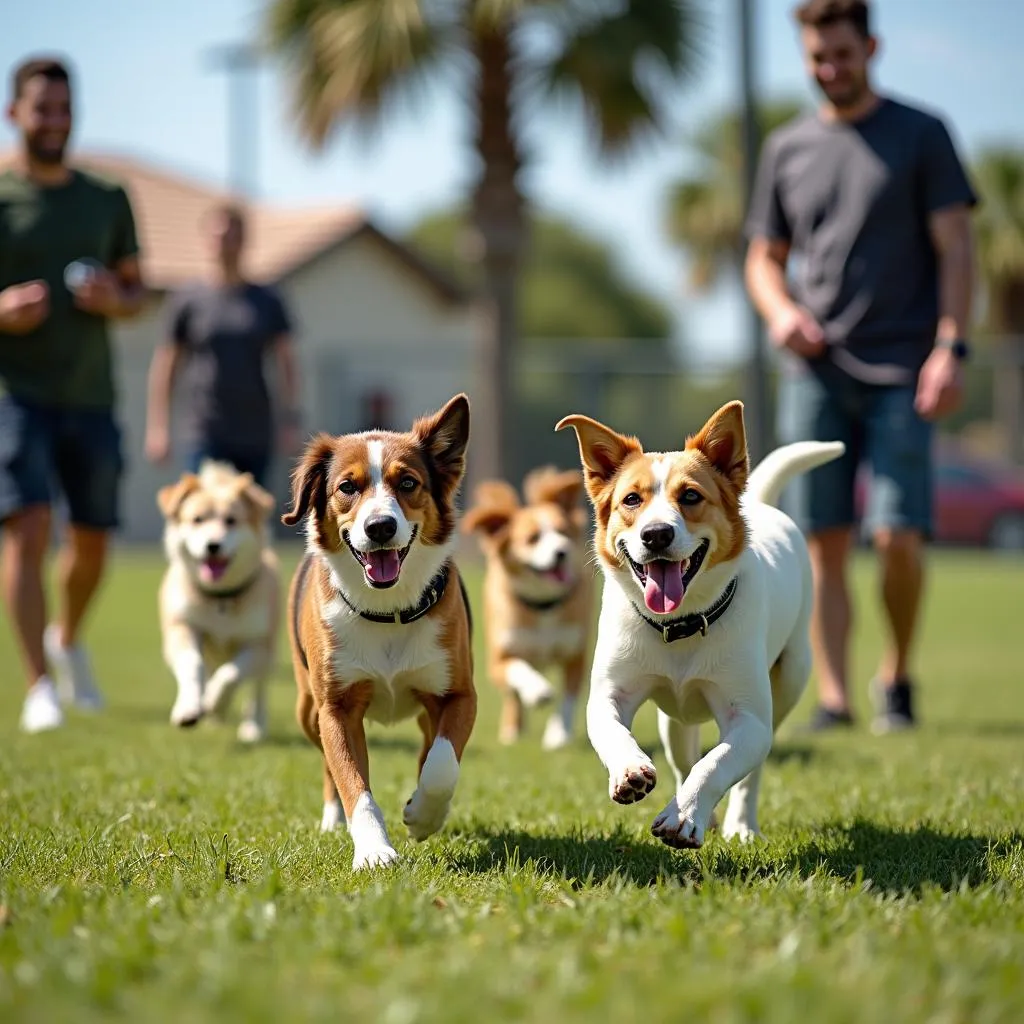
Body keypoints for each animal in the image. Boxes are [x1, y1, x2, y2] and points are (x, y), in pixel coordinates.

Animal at [154, 460, 280, 741]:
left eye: (231, 520)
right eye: (197, 520)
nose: (213, 545)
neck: (221, 598)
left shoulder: (257, 640)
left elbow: (232, 674)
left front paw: (214, 701)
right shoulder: (183, 625)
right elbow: (193, 664)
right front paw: (190, 707)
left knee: (259, 684)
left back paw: (253, 725)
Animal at [282, 393, 477, 872]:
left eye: (407, 483)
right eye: (347, 488)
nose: (380, 527)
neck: (387, 611)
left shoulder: (459, 694)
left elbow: (442, 764)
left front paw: (423, 815)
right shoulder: (336, 708)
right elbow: (353, 783)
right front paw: (373, 850)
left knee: (429, 745)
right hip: (307, 708)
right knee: (327, 766)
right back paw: (332, 819)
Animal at [464, 468, 593, 749]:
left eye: (563, 532)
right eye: (533, 539)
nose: (562, 552)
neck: (542, 607)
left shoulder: (575, 654)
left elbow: (568, 697)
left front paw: (559, 734)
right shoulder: (497, 660)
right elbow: (517, 670)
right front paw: (537, 691)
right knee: (513, 695)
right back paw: (512, 730)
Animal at [557, 403, 843, 851]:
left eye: (691, 495)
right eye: (631, 499)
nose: (656, 534)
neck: (680, 626)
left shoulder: (749, 719)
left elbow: (716, 764)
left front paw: (684, 816)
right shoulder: (609, 694)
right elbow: (613, 730)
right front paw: (630, 771)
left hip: (789, 681)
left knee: (750, 771)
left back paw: (740, 825)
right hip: (673, 720)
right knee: (682, 756)